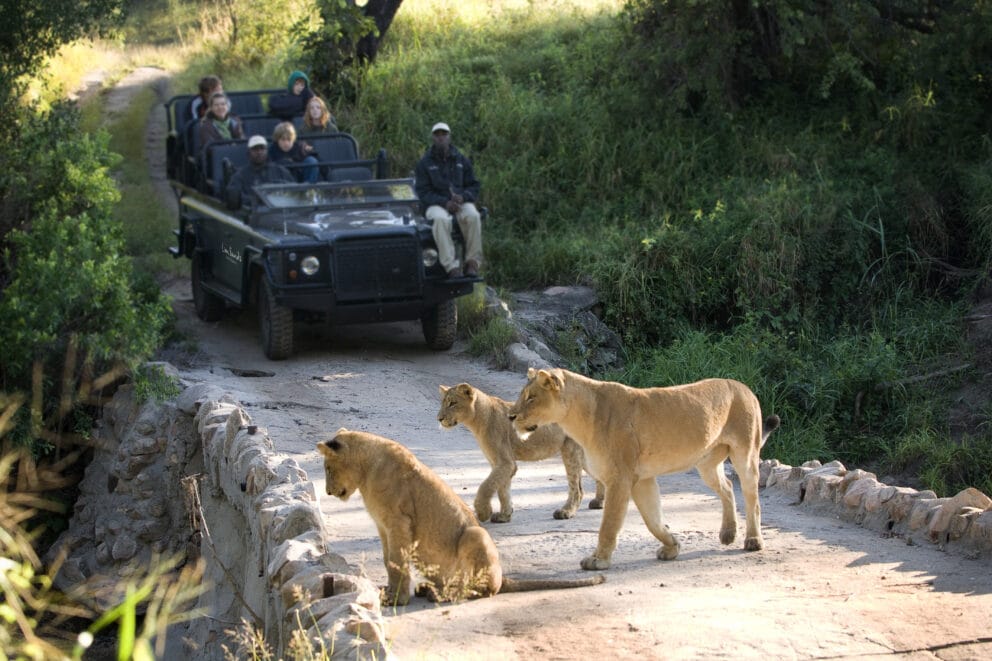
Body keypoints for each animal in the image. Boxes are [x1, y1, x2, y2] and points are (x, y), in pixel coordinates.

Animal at [316, 428, 606, 605]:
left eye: (328, 468)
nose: (328, 491)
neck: (366, 470)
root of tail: (504, 576)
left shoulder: (399, 523)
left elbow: (397, 562)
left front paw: (397, 599)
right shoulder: (383, 527)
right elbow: (389, 561)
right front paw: (388, 592)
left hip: (475, 534)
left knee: (485, 590)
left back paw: (442, 595)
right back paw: (430, 589)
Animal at [437, 383, 604, 523]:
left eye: (452, 403)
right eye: (443, 403)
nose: (439, 418)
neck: (477, 419)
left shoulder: (505, 462)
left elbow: (486, 486)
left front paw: (484, 512)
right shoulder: (500, 463)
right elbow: (502, 489)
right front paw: (504, 515)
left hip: (570, 449)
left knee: (576, 488)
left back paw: (566, 512)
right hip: (582, 455)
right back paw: (599, 502)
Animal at [507, 368, 780, 571]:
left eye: (531, 397)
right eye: (523, 395)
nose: (511, 416)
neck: (578, 418)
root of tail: (745, 387)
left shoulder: (620, 478)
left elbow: (609, 524)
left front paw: (598, 560)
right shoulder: (641, 479)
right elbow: (653, 520)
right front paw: (672, 546)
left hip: (745, 454)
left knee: (752, 497)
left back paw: (753, 540)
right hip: (706, 464)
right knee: (728, 487)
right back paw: (727, 533)